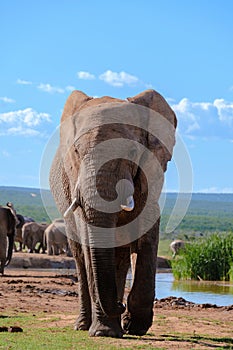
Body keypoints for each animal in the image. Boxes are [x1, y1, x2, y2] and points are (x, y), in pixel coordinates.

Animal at [49, 89, 177, 338]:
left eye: (132, 151)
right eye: (76, 151)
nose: (120, 305)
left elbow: (147, 235)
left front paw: (134, 326)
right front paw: (105, 332)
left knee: (120, 255)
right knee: (80, 257)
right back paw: (83, 325)